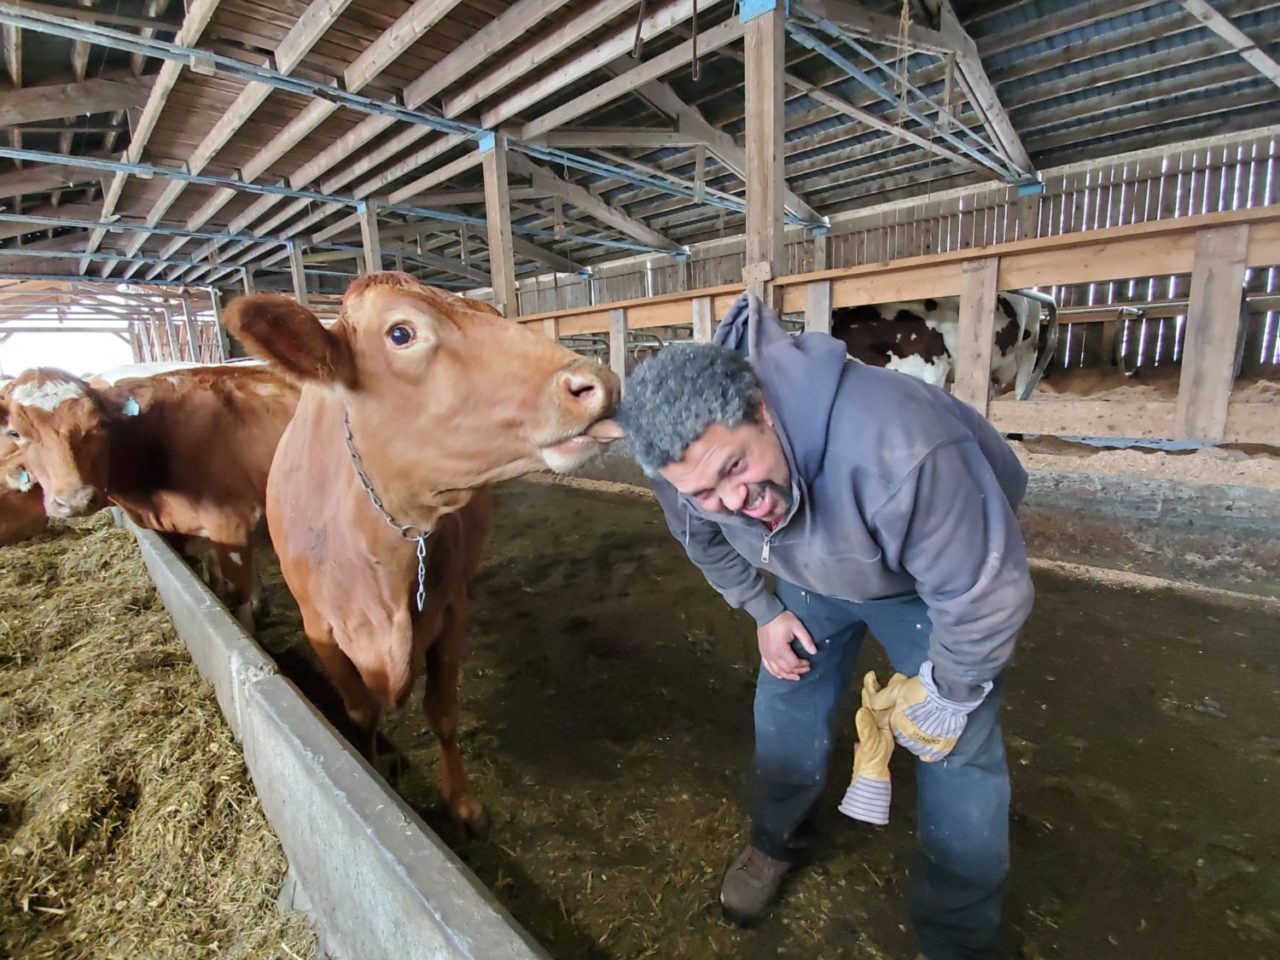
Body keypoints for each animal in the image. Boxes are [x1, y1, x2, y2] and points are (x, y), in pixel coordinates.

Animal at [226, 271, 624, 829]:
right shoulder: (319, 627)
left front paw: (461, 802)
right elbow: (361, 714)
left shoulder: (451, 611)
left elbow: (443, 711)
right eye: (401, 334)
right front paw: (376, 776)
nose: (597, 383)